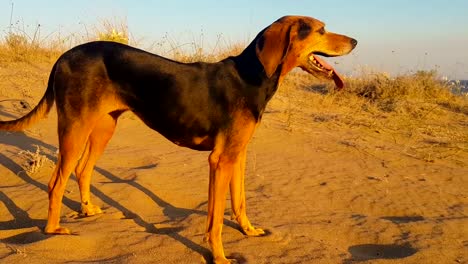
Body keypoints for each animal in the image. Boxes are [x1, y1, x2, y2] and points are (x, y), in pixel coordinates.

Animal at [0, 15, 356, 262]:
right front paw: (219, 256)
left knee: (82, 170)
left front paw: (249, 230)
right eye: (320, 29)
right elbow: (215, 218)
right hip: (75, 128)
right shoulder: (220, 161)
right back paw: (53, 230)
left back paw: (87, 211)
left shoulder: (237, 155)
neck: (252, 76)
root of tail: (63, 56)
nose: (354, 41)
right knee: (56, 181)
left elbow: (239, 201)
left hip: (102, 128)